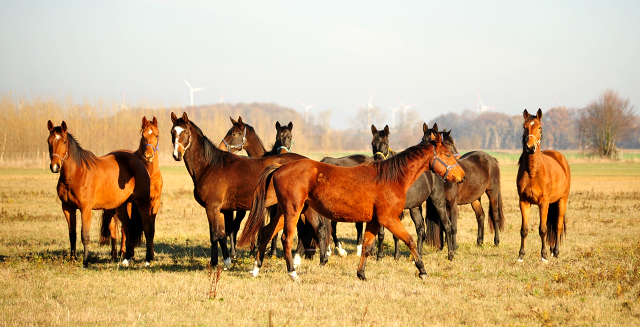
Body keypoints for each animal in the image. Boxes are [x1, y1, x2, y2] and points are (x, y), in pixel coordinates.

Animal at [46, 121, 154, 270]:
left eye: (64, 141)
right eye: (48, 141)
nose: (55, 166)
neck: (76, 174)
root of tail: (139, 161)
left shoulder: (85, 208)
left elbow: (84, 235)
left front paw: (85, 263)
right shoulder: (67, 208)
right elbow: (72, 235)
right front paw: (73, 259)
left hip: (142, 202)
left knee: (147, 228)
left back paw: (148, 260)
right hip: (121, 205)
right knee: (128, 228)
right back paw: (126, 259)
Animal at [99, 116, 164, 266]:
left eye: (156, 135)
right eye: (143, 135)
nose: (148, 155)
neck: (149, 173)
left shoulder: (154, 203)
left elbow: (151, 228)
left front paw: (151, 255)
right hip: (113, 208)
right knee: (114, 228)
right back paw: (116, 254)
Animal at [169, 113, 324, 270]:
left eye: (186, 132)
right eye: (172, 132)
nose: (177, 154)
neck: (210, 166)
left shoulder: (212, 207)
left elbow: (214, 235)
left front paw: (215, 263)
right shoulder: (220, 210)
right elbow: (222, 235)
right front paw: (226, 261)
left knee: (317, 229)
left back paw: (321, 260)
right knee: (305, 232)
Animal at [238, 125, 462, 282]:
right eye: (447, 154)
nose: (462, 176)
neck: (390, 178)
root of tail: (280, 167)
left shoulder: (374, 221)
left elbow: (368, 246)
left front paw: (361, 274)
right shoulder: (389, 219)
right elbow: (410, 240)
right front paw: (422, 270)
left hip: (284, 211)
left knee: (266, 232)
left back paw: (256, 269)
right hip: (293, 211)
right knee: (286, 238)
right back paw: (292, 272)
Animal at [516, 110, 568, 264]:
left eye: (539, 127)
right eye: (524, 127)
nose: (530, 147)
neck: (533, 172)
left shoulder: (543, 203)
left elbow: (543, 229)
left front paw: (543, 255)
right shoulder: (524, 202)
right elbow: (524, 229)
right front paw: (521, 255)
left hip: (562, 200)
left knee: (557, 225)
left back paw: (555, 251)